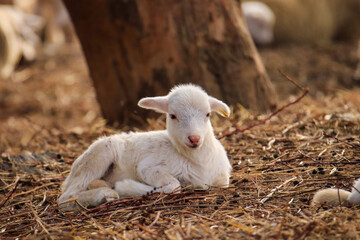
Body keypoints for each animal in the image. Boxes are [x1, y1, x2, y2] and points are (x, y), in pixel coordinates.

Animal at [58, 84, 233, 210]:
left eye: (208, 114)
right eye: (172, 116)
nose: (194, 138)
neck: (198, 161)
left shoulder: (222, 179)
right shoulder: (147, 167)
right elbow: (174, 186)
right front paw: (126, 187)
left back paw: (102, 186)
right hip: (97, 157)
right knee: (66, 198)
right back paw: (104, 194)